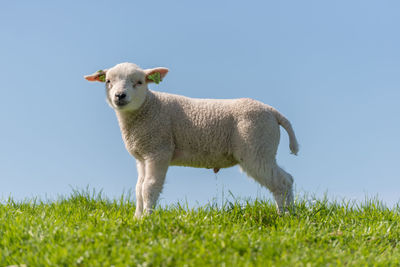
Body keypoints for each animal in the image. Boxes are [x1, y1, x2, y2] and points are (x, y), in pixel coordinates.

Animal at [84, 62, 298, 218]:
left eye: (139, 82)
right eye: (108, 81)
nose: (120, 96)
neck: (148, 108)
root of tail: (273, 112)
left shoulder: (159, 150)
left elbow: (149, 186)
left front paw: (147, 219)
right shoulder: (142, 156)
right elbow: (138, 188)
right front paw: (137, 218)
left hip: (256, 146)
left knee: (282, 182)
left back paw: (286, 216)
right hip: (262, 147)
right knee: (286, 179)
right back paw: (287, 214)